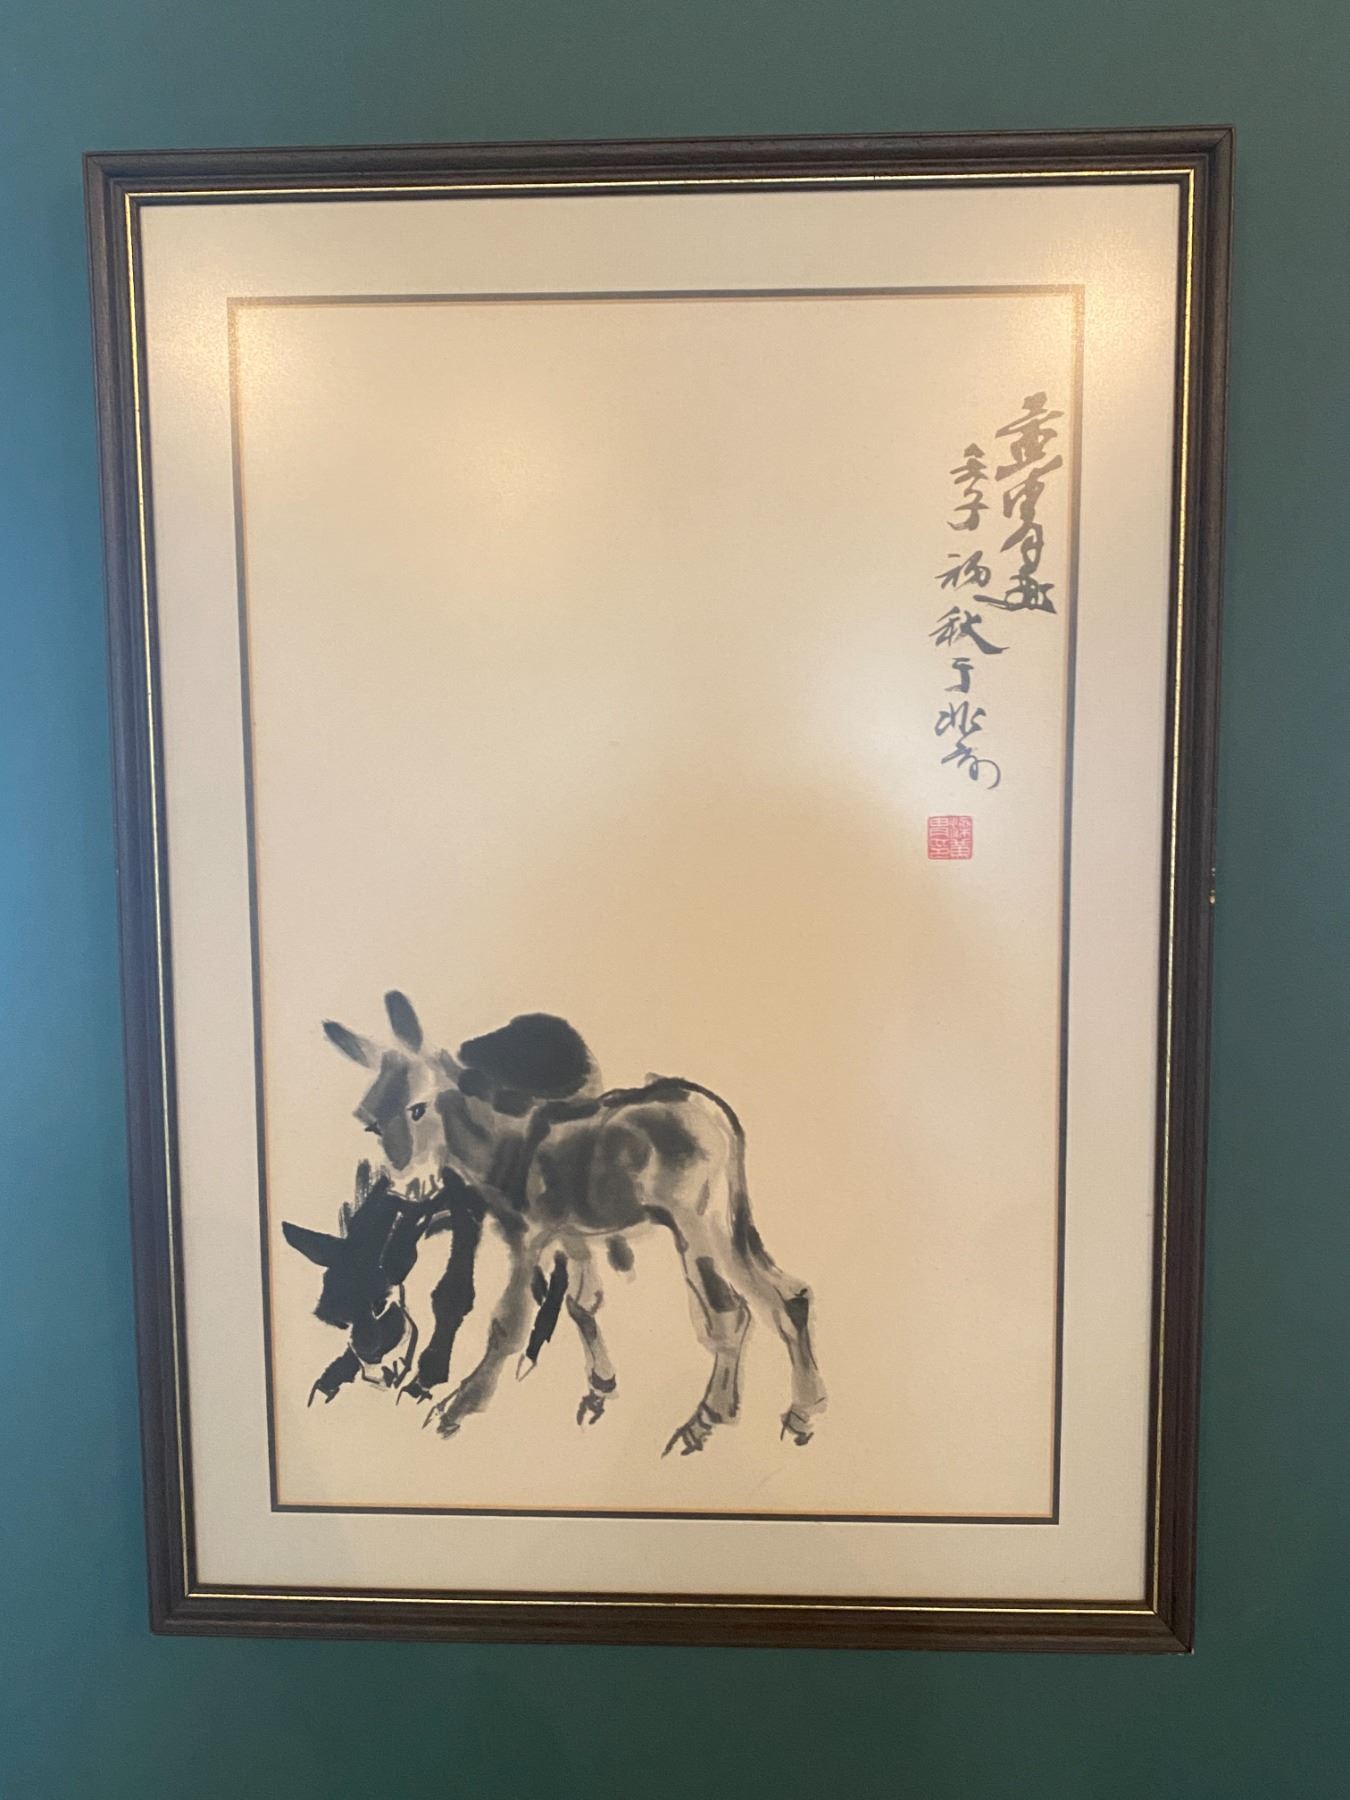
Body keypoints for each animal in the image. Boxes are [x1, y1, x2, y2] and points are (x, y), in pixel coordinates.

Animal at [302, 991, 827, 1455]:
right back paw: (796, 1412)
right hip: (719, 1222)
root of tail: (709, 1108)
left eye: (419, 1108)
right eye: (370, 1122)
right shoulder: (571, 1236)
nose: (404, 1186)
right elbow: (581, 1305)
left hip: (695, 1223)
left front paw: (460, 1406)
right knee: (787, 1296)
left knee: (732, 1312)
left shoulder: (525, 1238)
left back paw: (712, 1420)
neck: (503, 1139)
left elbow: (507, 1325)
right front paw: (600, 1387)